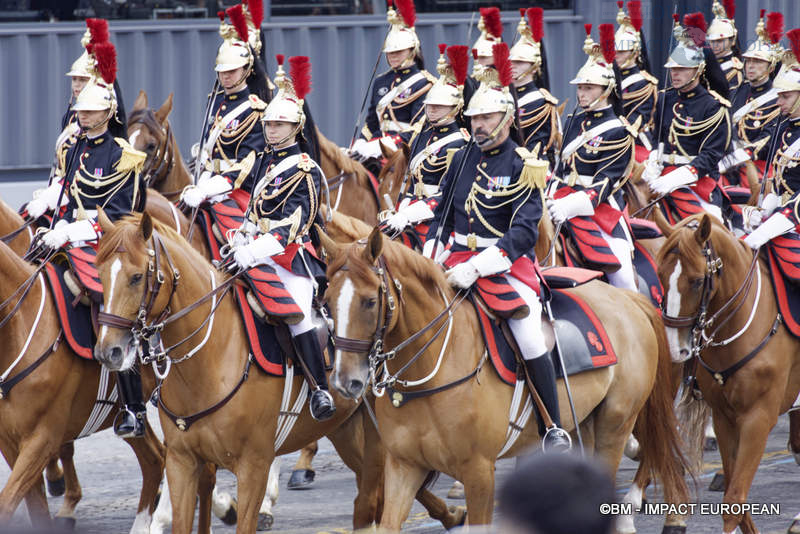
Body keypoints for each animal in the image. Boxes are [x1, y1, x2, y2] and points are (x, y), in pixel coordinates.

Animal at [322, 221, 692, 532]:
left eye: (370, 302)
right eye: (325, 302)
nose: (345, 382)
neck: (429, 367)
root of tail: (628, 299)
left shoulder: (479, 472)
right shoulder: (403, 466)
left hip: (615, 423)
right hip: (584, 424)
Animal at [656, 215, 800, 534]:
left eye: (697, 281)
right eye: (660, 276)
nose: (674, 349)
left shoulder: (758, 418)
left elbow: (734, 499)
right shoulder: (724, 418)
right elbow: (736, 496)